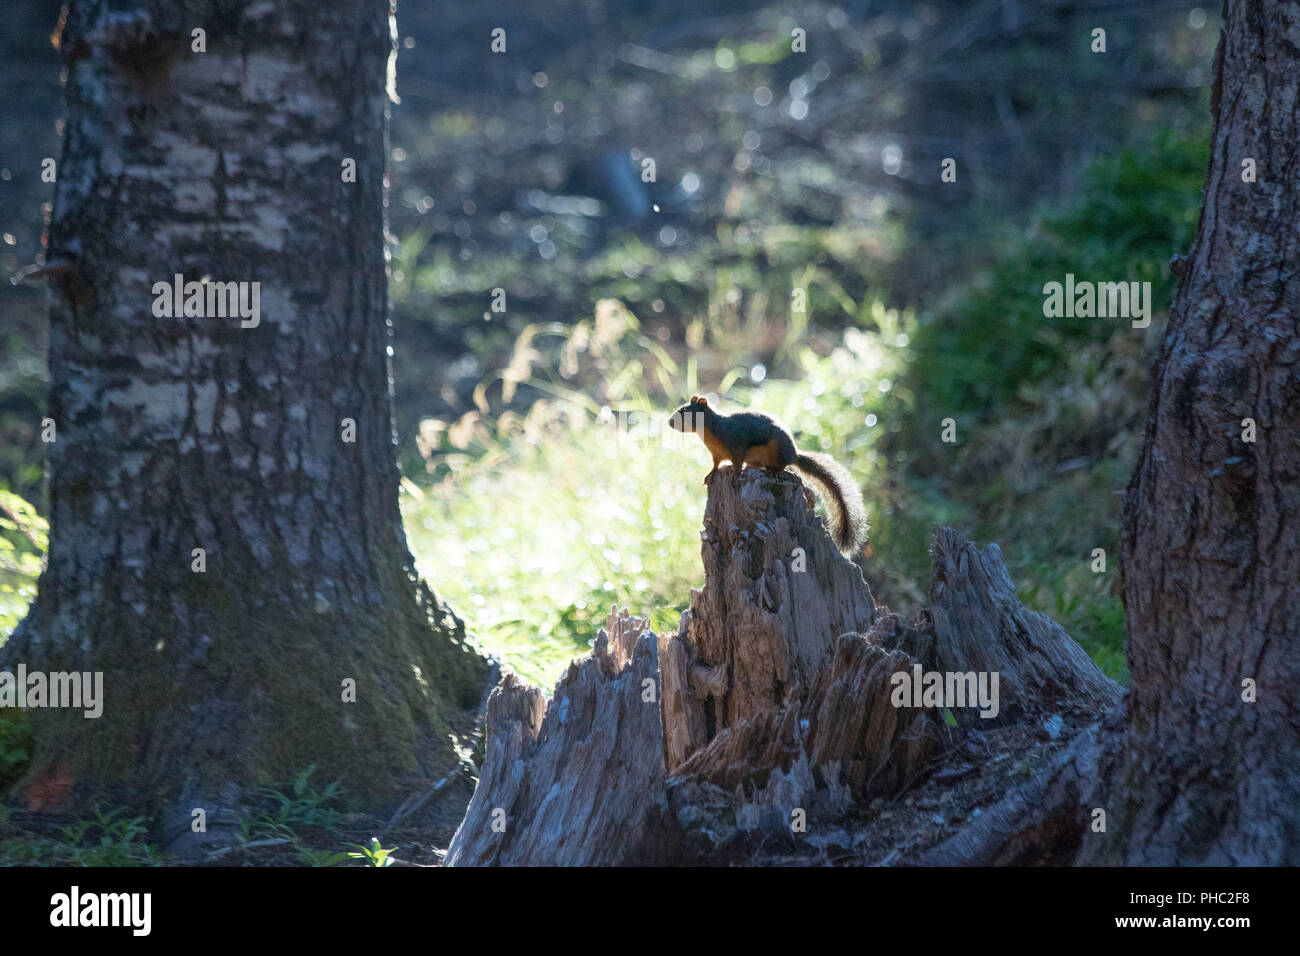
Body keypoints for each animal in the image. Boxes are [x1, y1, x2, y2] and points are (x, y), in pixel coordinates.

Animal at [668, 395, 868, 555]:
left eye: (684, 411)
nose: (669, 422)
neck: (711, 431)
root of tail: (794, 454)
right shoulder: (716, 454)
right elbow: (716, 465)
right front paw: (710, 475)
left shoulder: (737, 445)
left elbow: (737, 463)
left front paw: (735, 477)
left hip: (777, 449)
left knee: (782, 466)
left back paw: (772, 471)